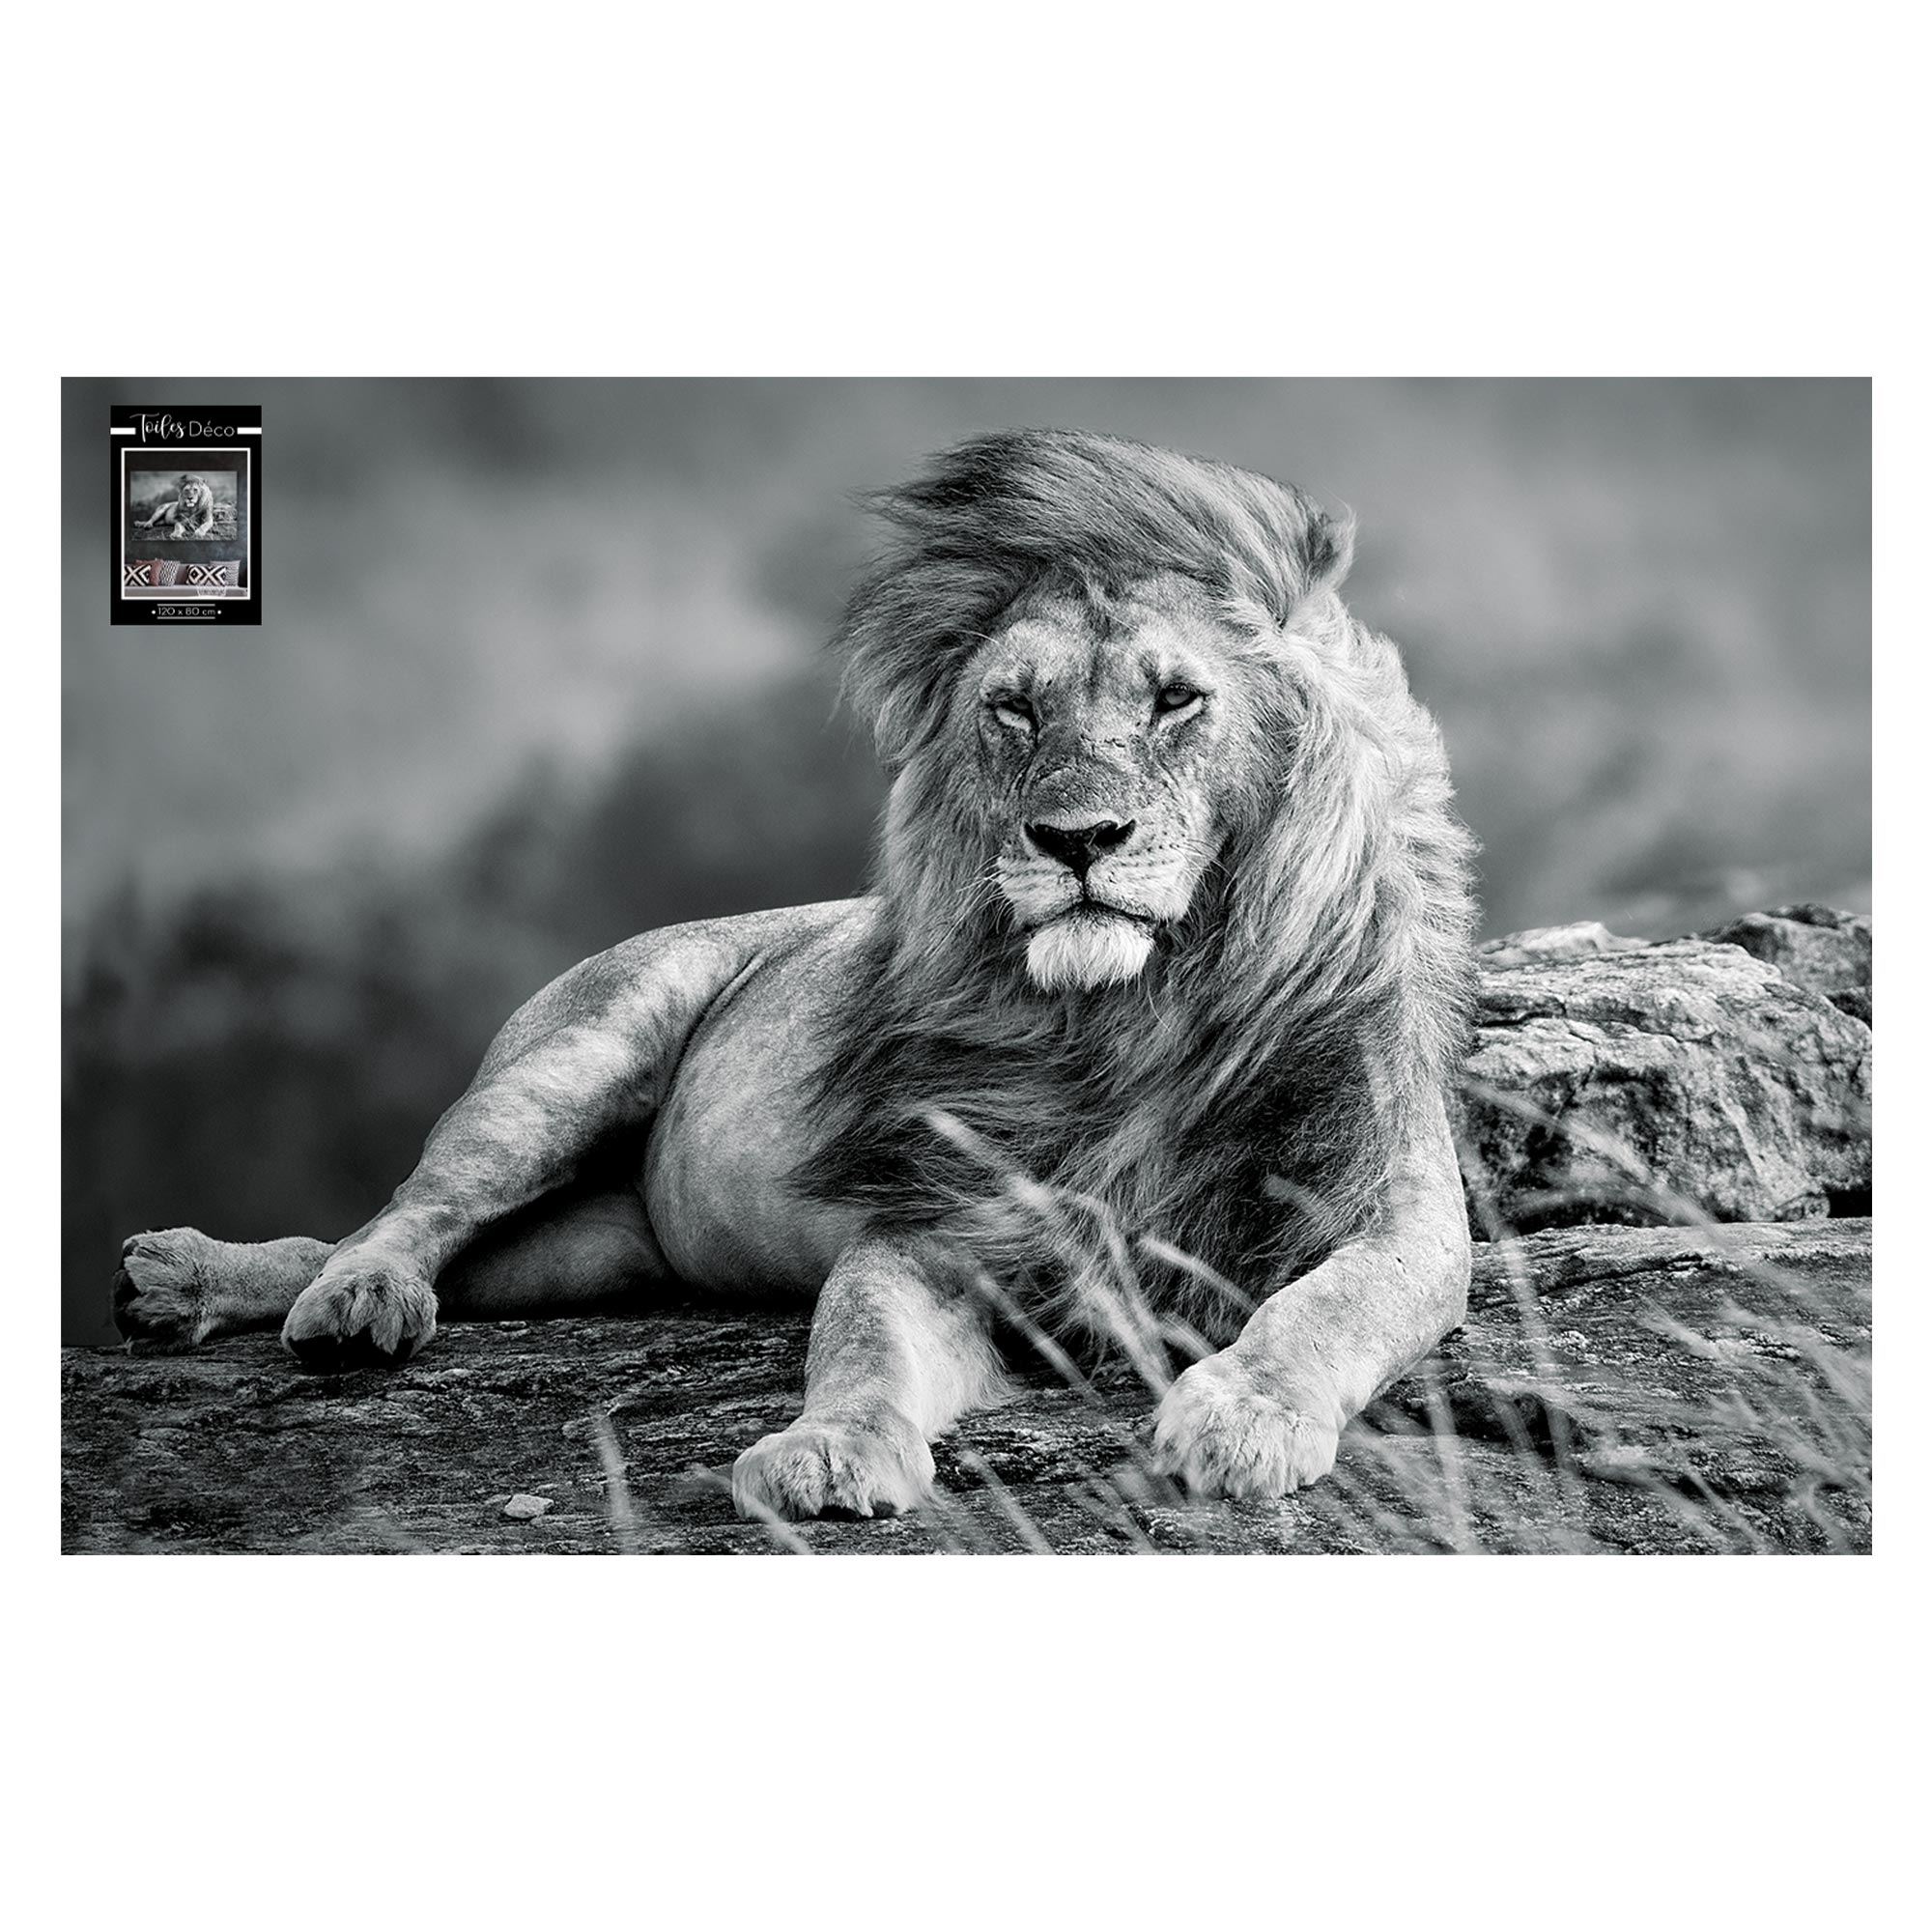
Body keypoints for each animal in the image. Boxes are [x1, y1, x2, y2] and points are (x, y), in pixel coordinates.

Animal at [113, 429, 1478, 1518]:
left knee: (435, 1249)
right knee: (405, 1212)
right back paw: (312, 1292)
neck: (1127, 1018)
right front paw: (825, 1451)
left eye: (1176, 699)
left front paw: (1242, 1415)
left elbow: (1330, 1303)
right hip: (568, 1061)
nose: (1075, 838)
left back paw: (192, 1283)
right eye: (1014, 709)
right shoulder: (928, 1225)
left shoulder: (1396, 1209)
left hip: (593, 1250)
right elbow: (859, 1341)